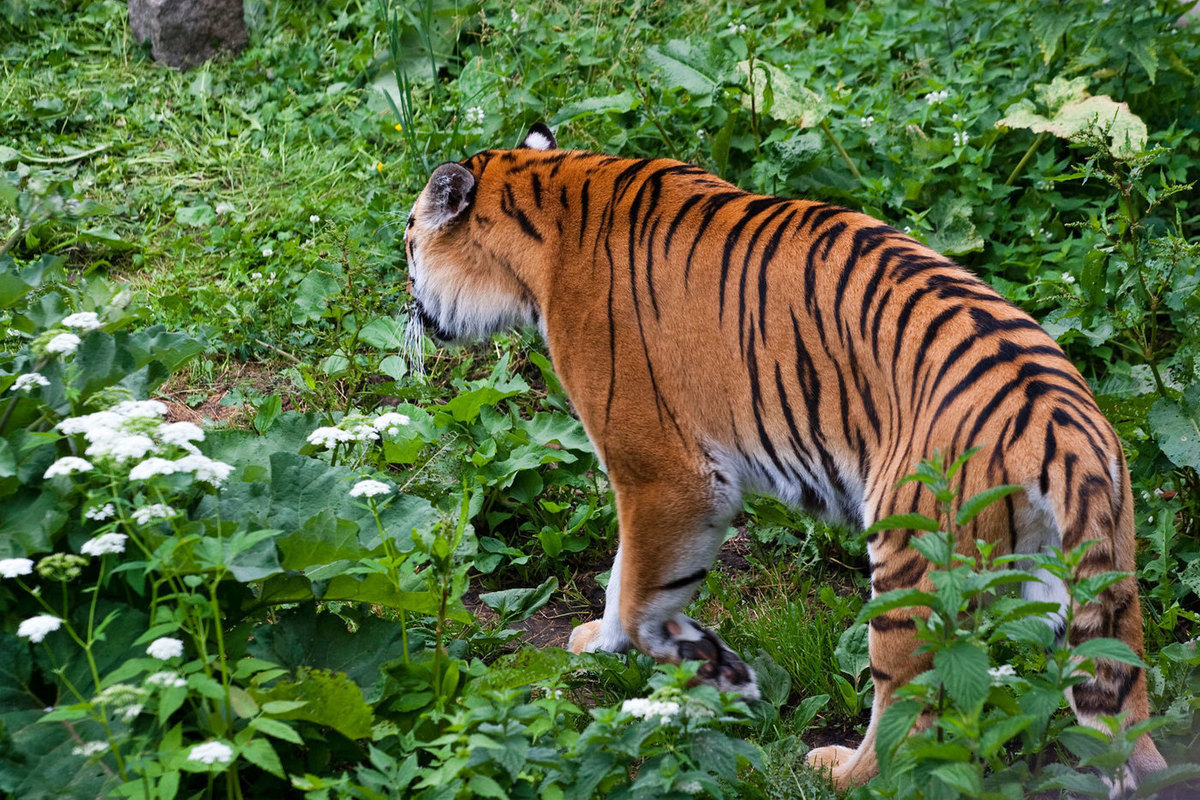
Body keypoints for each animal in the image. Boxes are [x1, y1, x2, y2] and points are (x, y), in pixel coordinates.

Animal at [402, 123, 1168, 791]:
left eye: (408, 246)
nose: (410, 312)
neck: (549, 204)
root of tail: (1061, 423)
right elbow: (624, 577)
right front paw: (600, 640)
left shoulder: (664, 471)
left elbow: (643, 586)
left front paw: (706, 667)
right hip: (1090, 594)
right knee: (1120, 711)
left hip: (913, 565)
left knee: (912, 714)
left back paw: (840, 772)